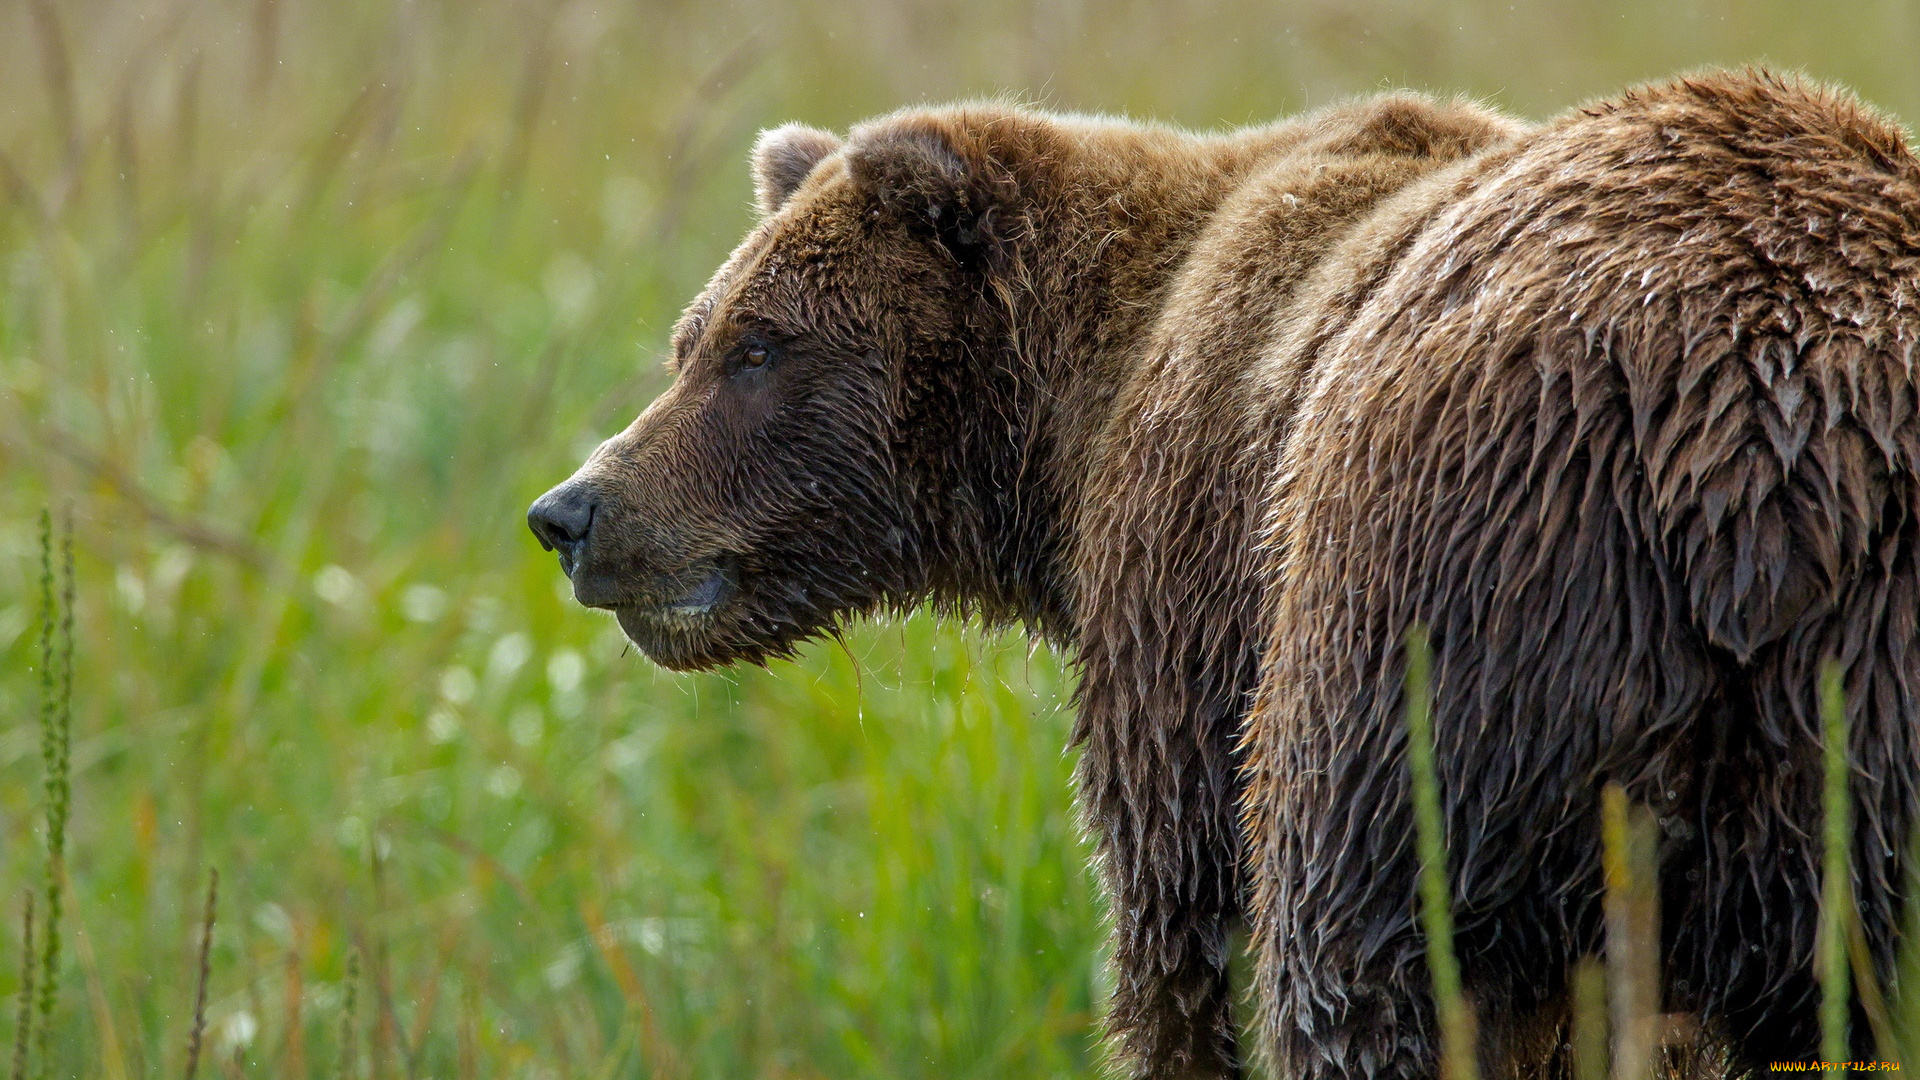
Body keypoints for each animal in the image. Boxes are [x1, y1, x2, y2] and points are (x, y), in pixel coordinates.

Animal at [533, 69, 1920, 1076]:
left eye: (758, 348)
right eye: (693, 340)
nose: (572, 511)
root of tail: (1755, 448)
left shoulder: (1184, 598)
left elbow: (1173, 937)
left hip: (1442, 615)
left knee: (1355, 962)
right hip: (1852, 729)